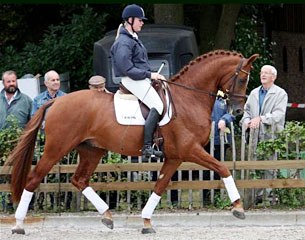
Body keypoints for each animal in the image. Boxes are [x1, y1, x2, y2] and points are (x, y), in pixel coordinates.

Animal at [6, 49, 256, 234]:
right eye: (243, 78)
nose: (237, 111)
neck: (189, 98)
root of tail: (56, 102)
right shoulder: (190, 150)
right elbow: (222, 168)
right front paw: (238, 207)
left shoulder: (175, 157)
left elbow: (160, 186)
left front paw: (146, 222)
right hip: (57, 148)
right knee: (34, 179)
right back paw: (18, 224)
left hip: (92, 150)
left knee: (79, 180)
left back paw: (107, 216)